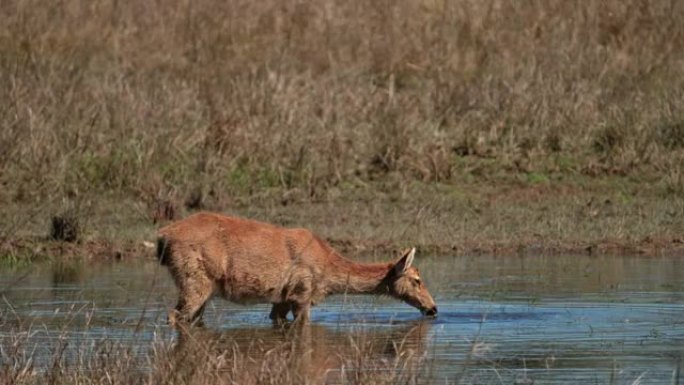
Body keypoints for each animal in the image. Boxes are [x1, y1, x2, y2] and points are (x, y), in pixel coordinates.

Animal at [158, 212, 438, 326]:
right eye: (417, 279)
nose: (433, 308)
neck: (328, 275)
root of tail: (163, 236)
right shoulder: (301, 293)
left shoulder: (281, 299)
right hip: (194, 280)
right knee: (173, 315)